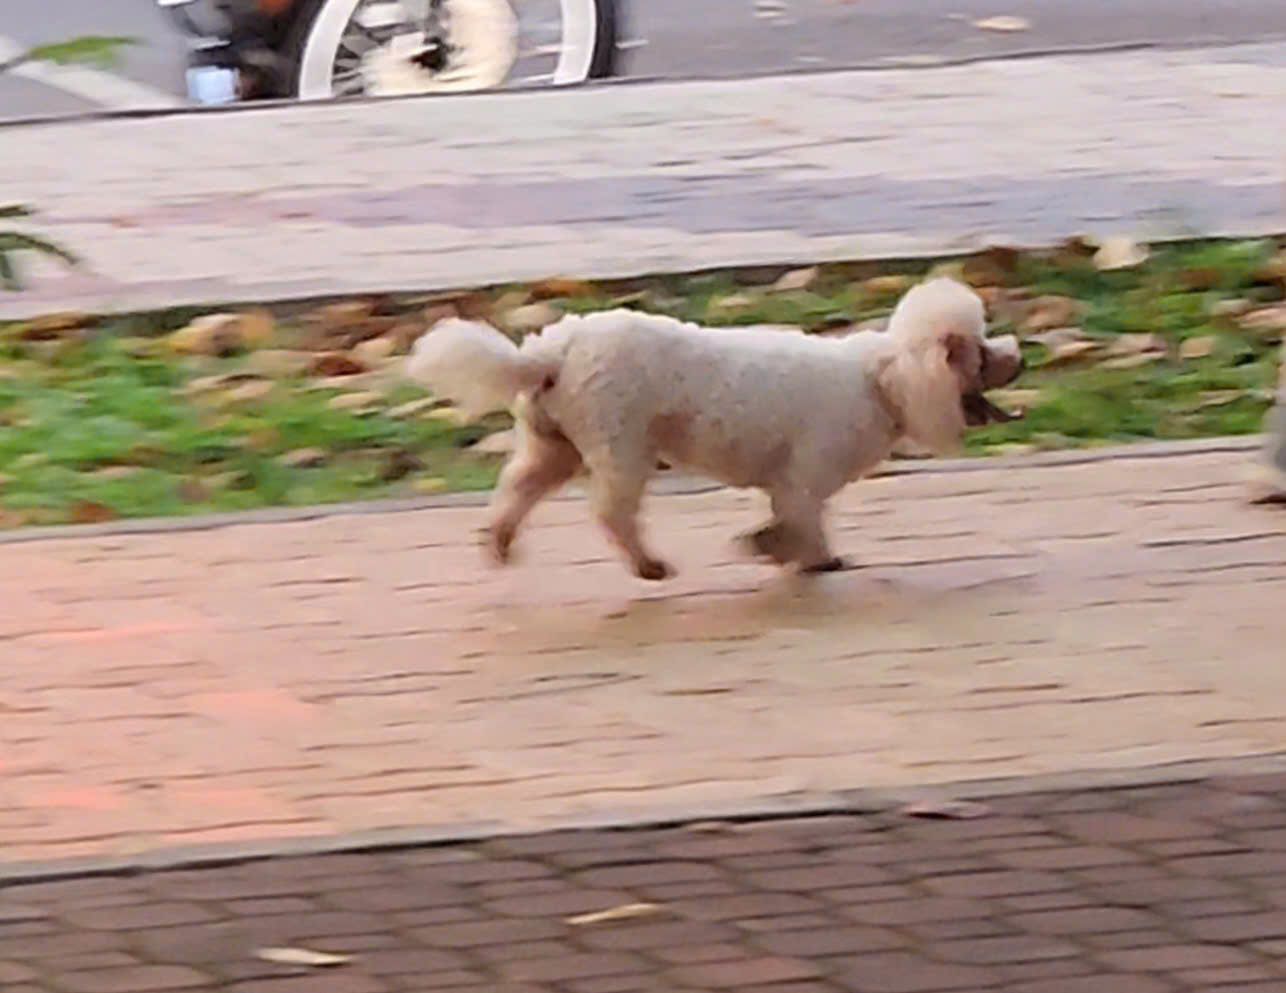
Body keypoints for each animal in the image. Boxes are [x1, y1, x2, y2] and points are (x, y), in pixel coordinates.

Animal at [406, 275, 1018, 578]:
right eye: (981, 352)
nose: (1020, 354)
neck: (884, 378)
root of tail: (551, 352)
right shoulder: (803, 476)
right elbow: (800, 520)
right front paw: (810, 559)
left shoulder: (790, 483)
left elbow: (786, 522)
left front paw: (772, 549)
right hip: (621, 443)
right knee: (613, 512)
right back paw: (648, 565)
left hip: (553, 445)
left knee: (517, 491)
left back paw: (500, 543)